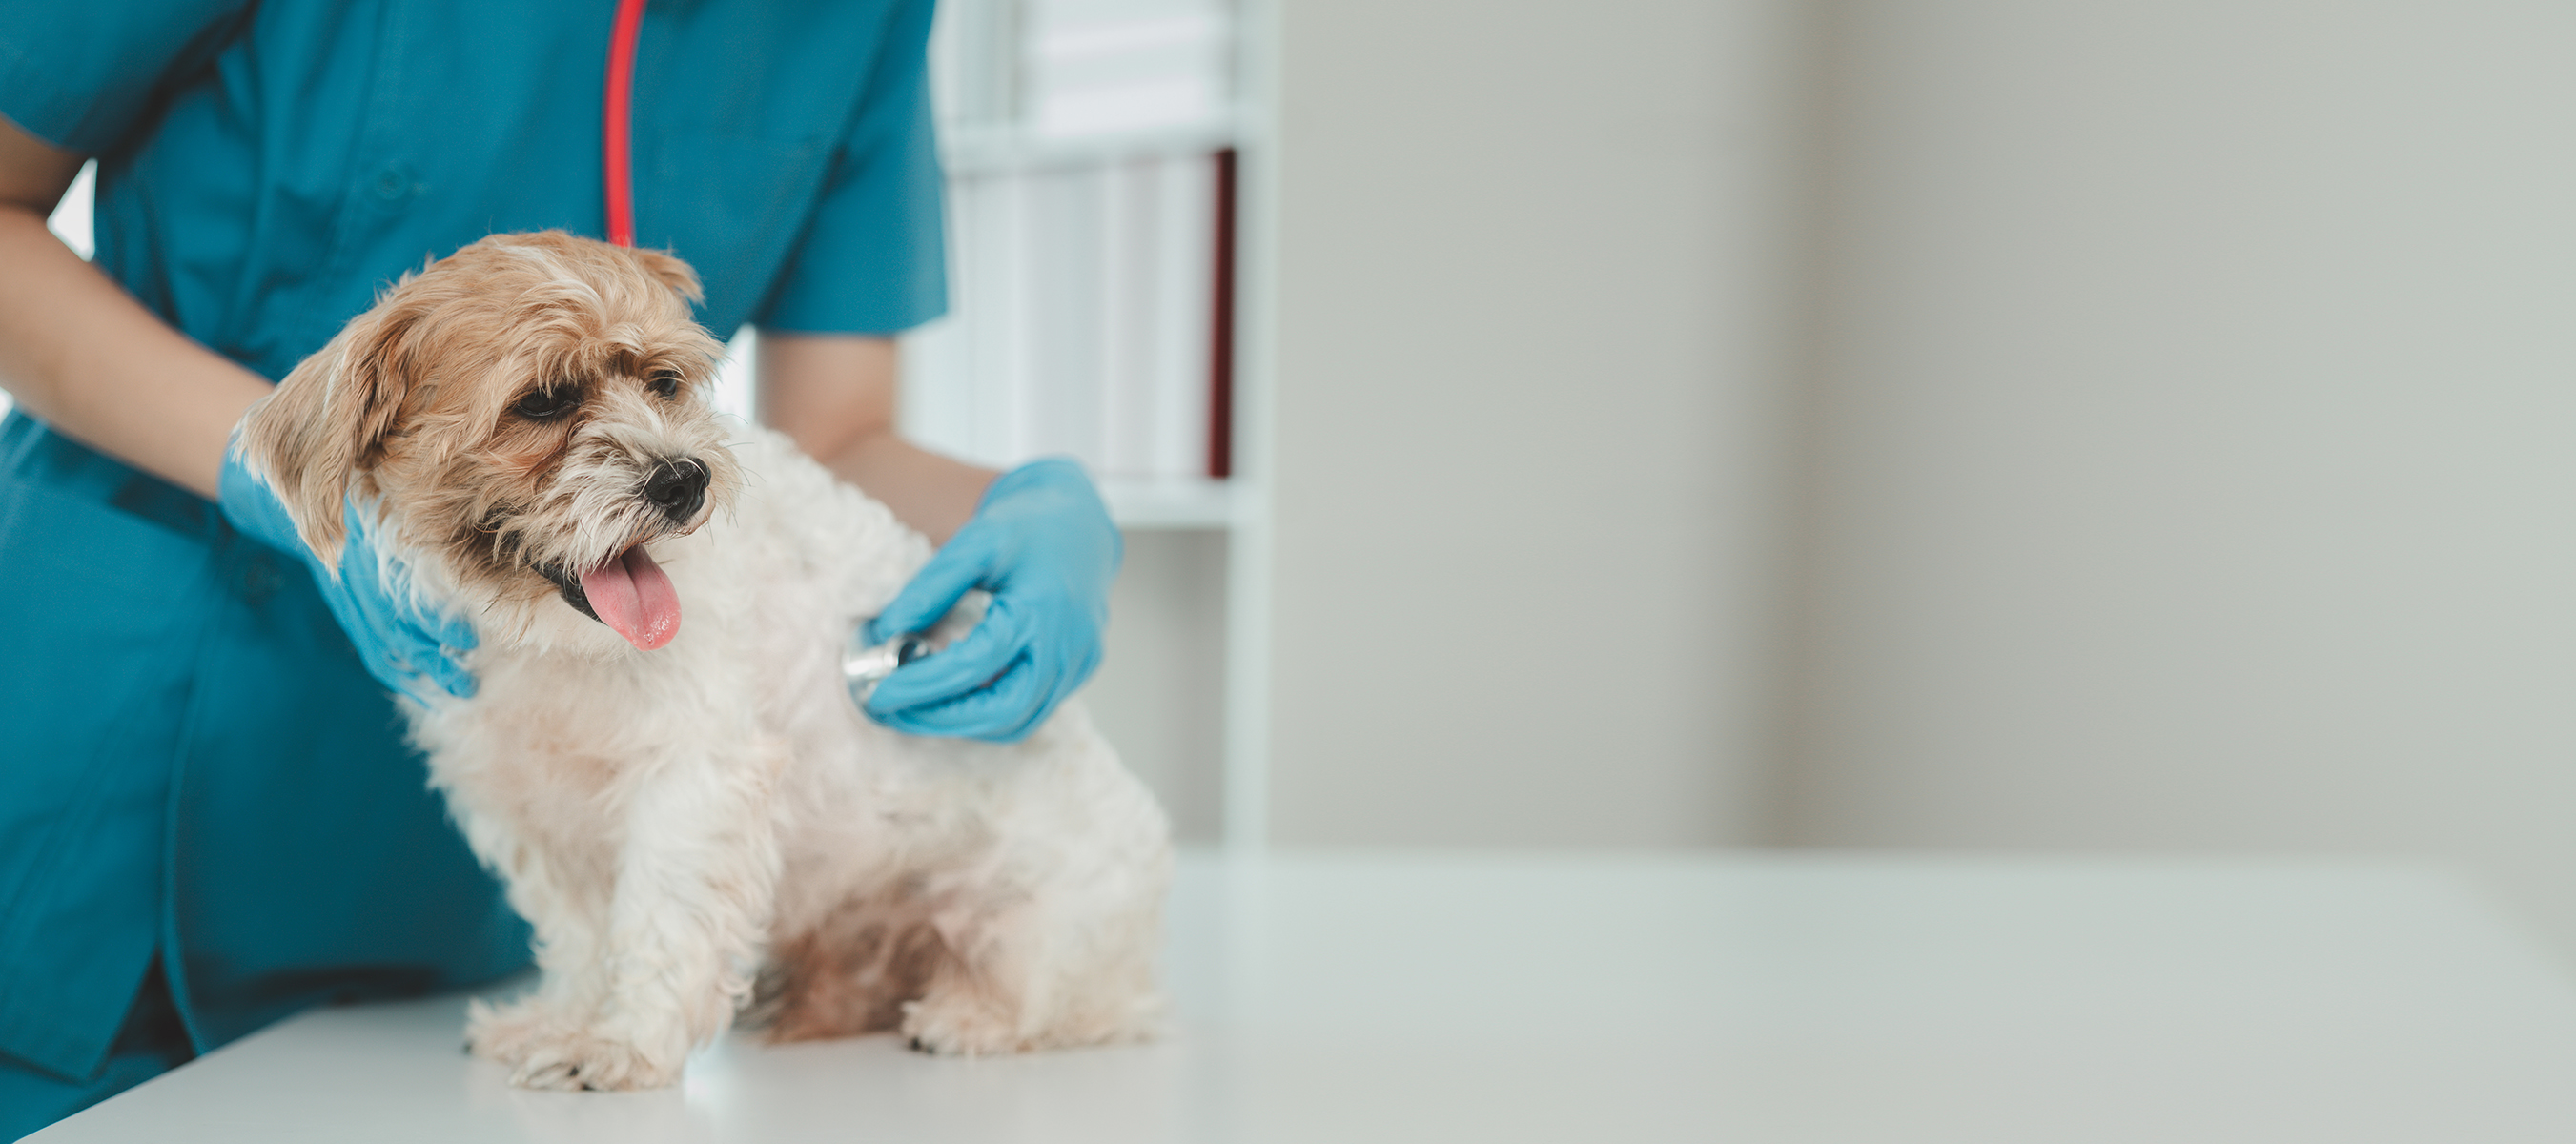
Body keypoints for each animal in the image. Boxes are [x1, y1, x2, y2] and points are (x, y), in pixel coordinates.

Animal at [241, 232, 1169, 1092]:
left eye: (664, 384)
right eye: (542, 402)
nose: (683, 478)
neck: (551, 645)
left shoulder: (694, 780)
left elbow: (659, 923)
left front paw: (623, 1045)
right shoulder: (527, 806)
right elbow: (581, 937)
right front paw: (566, 1020)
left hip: (1033, 933)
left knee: (1087, 1008)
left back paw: (972, 1016)